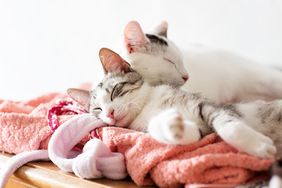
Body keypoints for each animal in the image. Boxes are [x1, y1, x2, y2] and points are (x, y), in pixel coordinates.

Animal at [68, 48, 282, 159]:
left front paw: (258, 145)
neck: (148, 108)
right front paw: (174, 127)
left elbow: (229, 125)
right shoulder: (204, 134)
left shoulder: (208, 104)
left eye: (115, 91)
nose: (109, 113)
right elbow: (187, 135)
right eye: (97, 110)